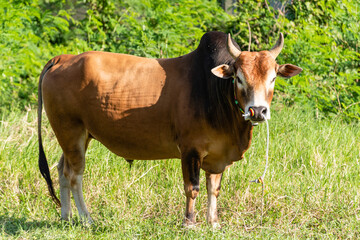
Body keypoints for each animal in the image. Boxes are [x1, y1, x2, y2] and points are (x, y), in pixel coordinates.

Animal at [37, 31, 300, 227]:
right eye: (239, 78)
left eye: (273, 78)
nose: (258, 111)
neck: (213, 90)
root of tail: (64, 58)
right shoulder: (190, 150)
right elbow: (192, 188)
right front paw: (189, 223)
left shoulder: (218, 155)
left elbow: (213, 189)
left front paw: (213, 223)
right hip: (71, 131)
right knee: (75, 175)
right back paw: (87, 219)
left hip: (79, 136)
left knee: (62, 169)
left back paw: (66, 217)